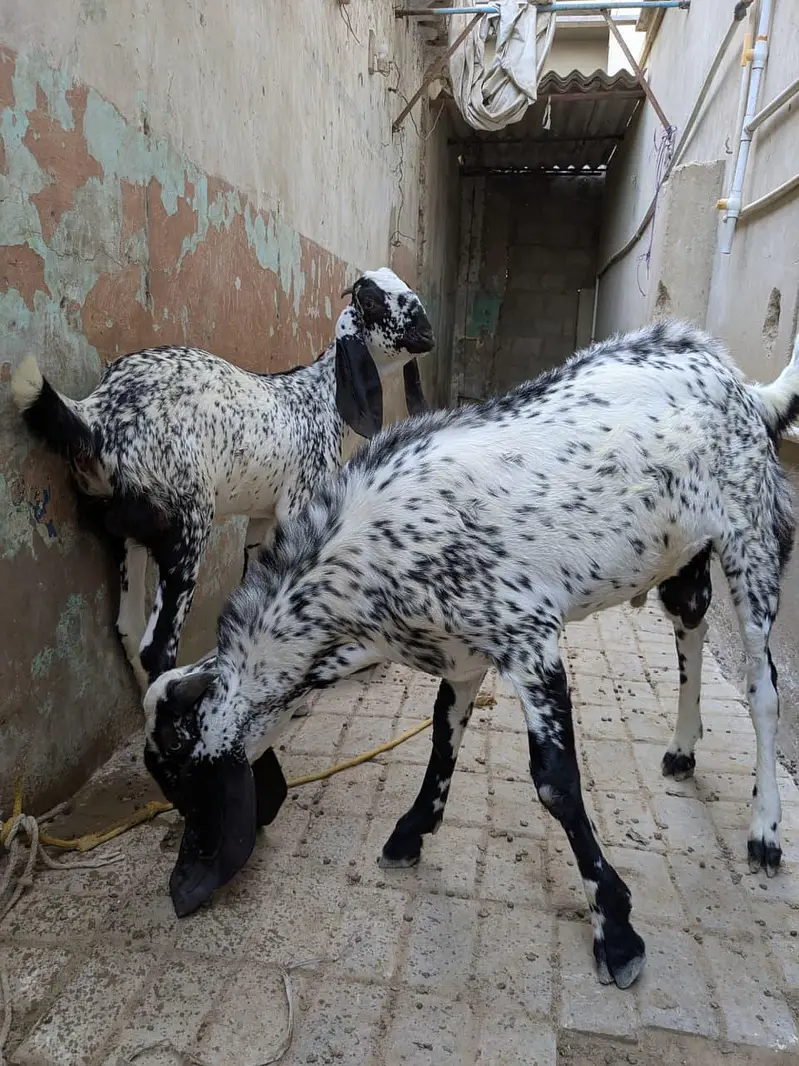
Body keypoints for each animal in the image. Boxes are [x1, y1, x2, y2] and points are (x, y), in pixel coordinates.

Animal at [11, 268, 434, 692]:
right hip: (188, 520)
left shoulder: (264, 519)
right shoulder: (300, 503)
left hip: (129, 529)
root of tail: (96, 414)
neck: (320, 400)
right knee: (155, 648)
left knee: (128, 628)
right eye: (372, 300)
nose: (427, 331)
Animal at [143, 320, 799, 987]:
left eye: (179, 777)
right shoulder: (460, 652)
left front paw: (616, 931)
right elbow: (442, 733)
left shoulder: (529, 640)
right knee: (691, 630)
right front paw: (411, 831)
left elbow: (556, 783)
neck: (370, 554)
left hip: (751, 541)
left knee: (762, 688)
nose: (184, 883)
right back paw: (682, 748)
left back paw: (764, 831)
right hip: (681, 560)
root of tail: (743, 386)